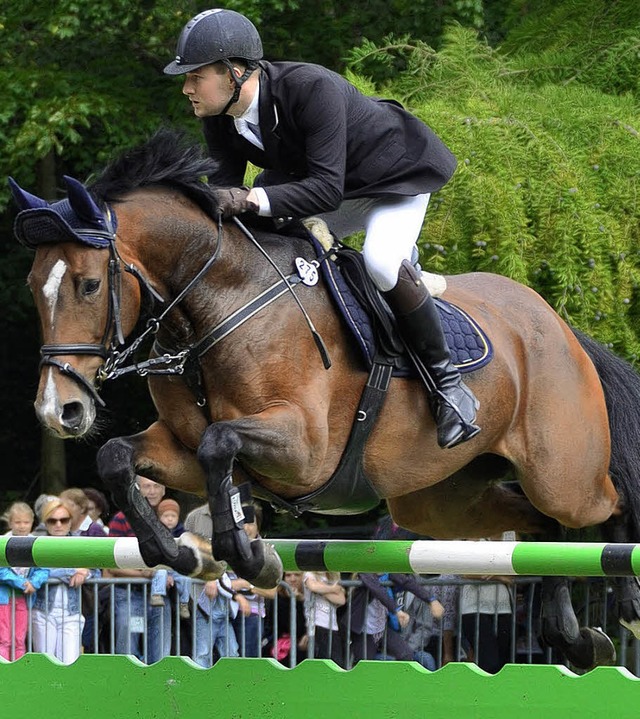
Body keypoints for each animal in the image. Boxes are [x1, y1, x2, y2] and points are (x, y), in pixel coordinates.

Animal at [8, 128, 640, 668]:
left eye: (90, 284)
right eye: (34, 286)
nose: (59, 410)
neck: (216, 305)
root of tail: (559, 329)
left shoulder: (305, 449)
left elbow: (219, 442)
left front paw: (249, 556)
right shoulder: (182, 448)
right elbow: (120, 456)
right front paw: (189, 555)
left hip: (562, 474)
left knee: (600, 506)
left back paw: (625, 604)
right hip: (441, 501)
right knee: (538, 526)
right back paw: (575, 638)